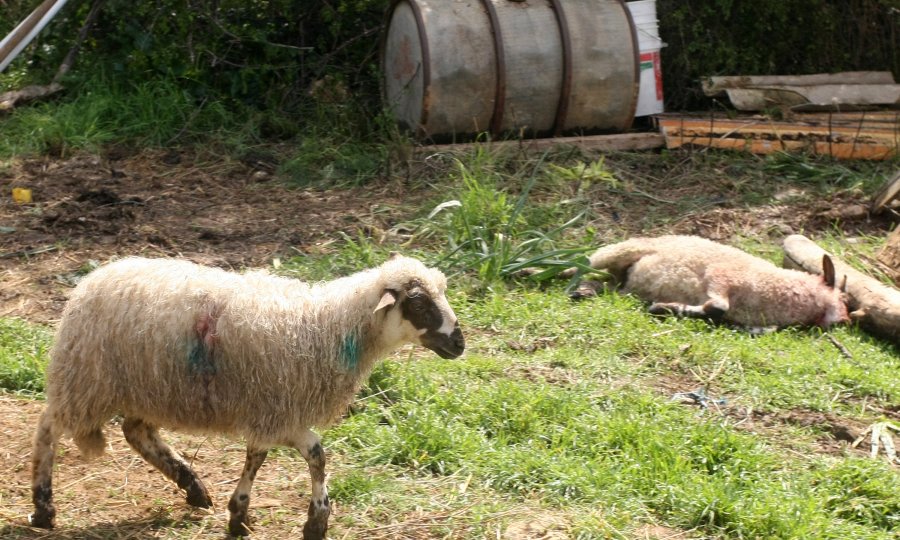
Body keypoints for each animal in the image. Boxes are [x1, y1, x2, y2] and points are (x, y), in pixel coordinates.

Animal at [29, 254, 464, 540]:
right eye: (419, 302)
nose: (459, 343)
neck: (329, 327)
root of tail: (93, 278)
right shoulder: (276, 408)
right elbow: (293, 455)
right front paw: (290, 518)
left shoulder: (278, 410)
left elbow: (295, 455)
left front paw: (267, 515)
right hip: (86, 380)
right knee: (49, 429)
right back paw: (43, 507)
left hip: (148, 386)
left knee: (136, 432)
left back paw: (192, 485)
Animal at [560, 235, 848, 330]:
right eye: (842, 298)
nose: (845, 320)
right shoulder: (721, 277)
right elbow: (718, 306)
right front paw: (664, 308)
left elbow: (716, 312)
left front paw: (667, 307)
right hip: (623, 249)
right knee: (583, 261)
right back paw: (553, 272)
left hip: (621, 281)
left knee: (605, 284)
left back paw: (583, 291)